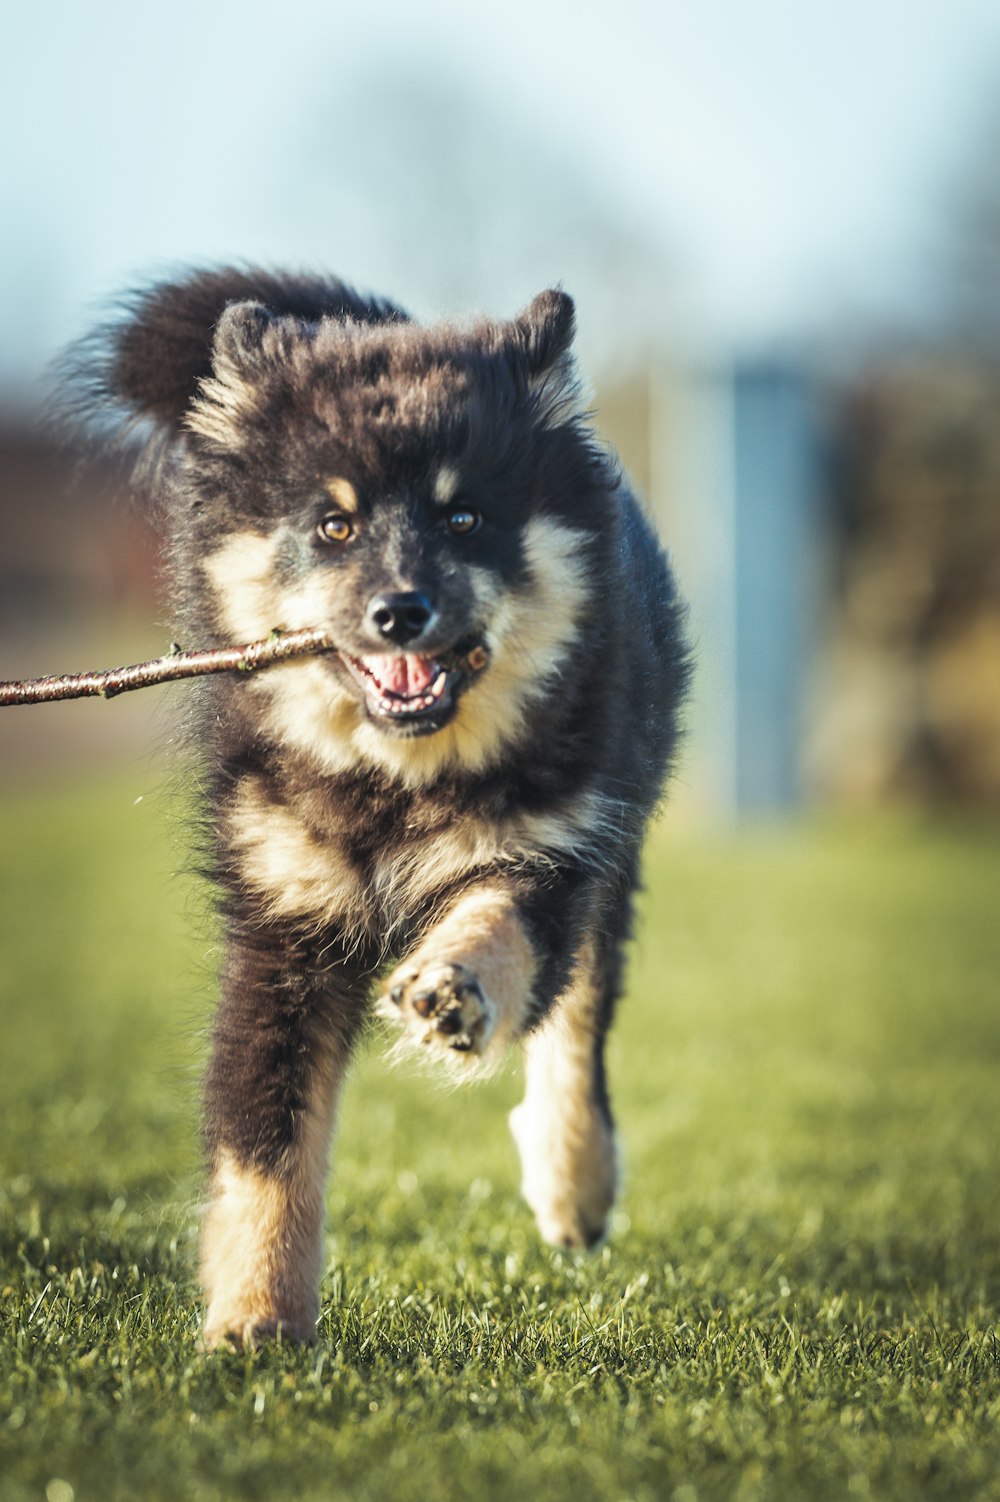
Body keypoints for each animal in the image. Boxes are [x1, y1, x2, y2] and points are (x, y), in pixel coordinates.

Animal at [70, 270, 690, 1351]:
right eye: (334, 524)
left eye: (465, 518)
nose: (400, 612)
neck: (395, 783)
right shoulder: (284, 930)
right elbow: (265, 1146)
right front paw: (254, 1321)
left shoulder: (549, 854)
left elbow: (496, 934)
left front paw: (450, 990)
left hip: (608, 848)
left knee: (575, 1020)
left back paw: (572, 1179)